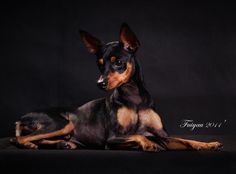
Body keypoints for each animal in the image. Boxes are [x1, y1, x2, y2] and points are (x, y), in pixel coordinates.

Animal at [11, 23, 223, 151]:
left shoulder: (163, 135)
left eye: (118, 62)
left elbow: (185, 140)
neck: (134, 96)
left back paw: (62, 144)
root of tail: (21, 118)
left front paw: (207, 144)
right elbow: (137, 135)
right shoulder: (113, 138)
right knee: (18, 139)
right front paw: (147, 144)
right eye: (99, 65)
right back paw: (36, 145)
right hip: (62, 123)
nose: (100, 83)